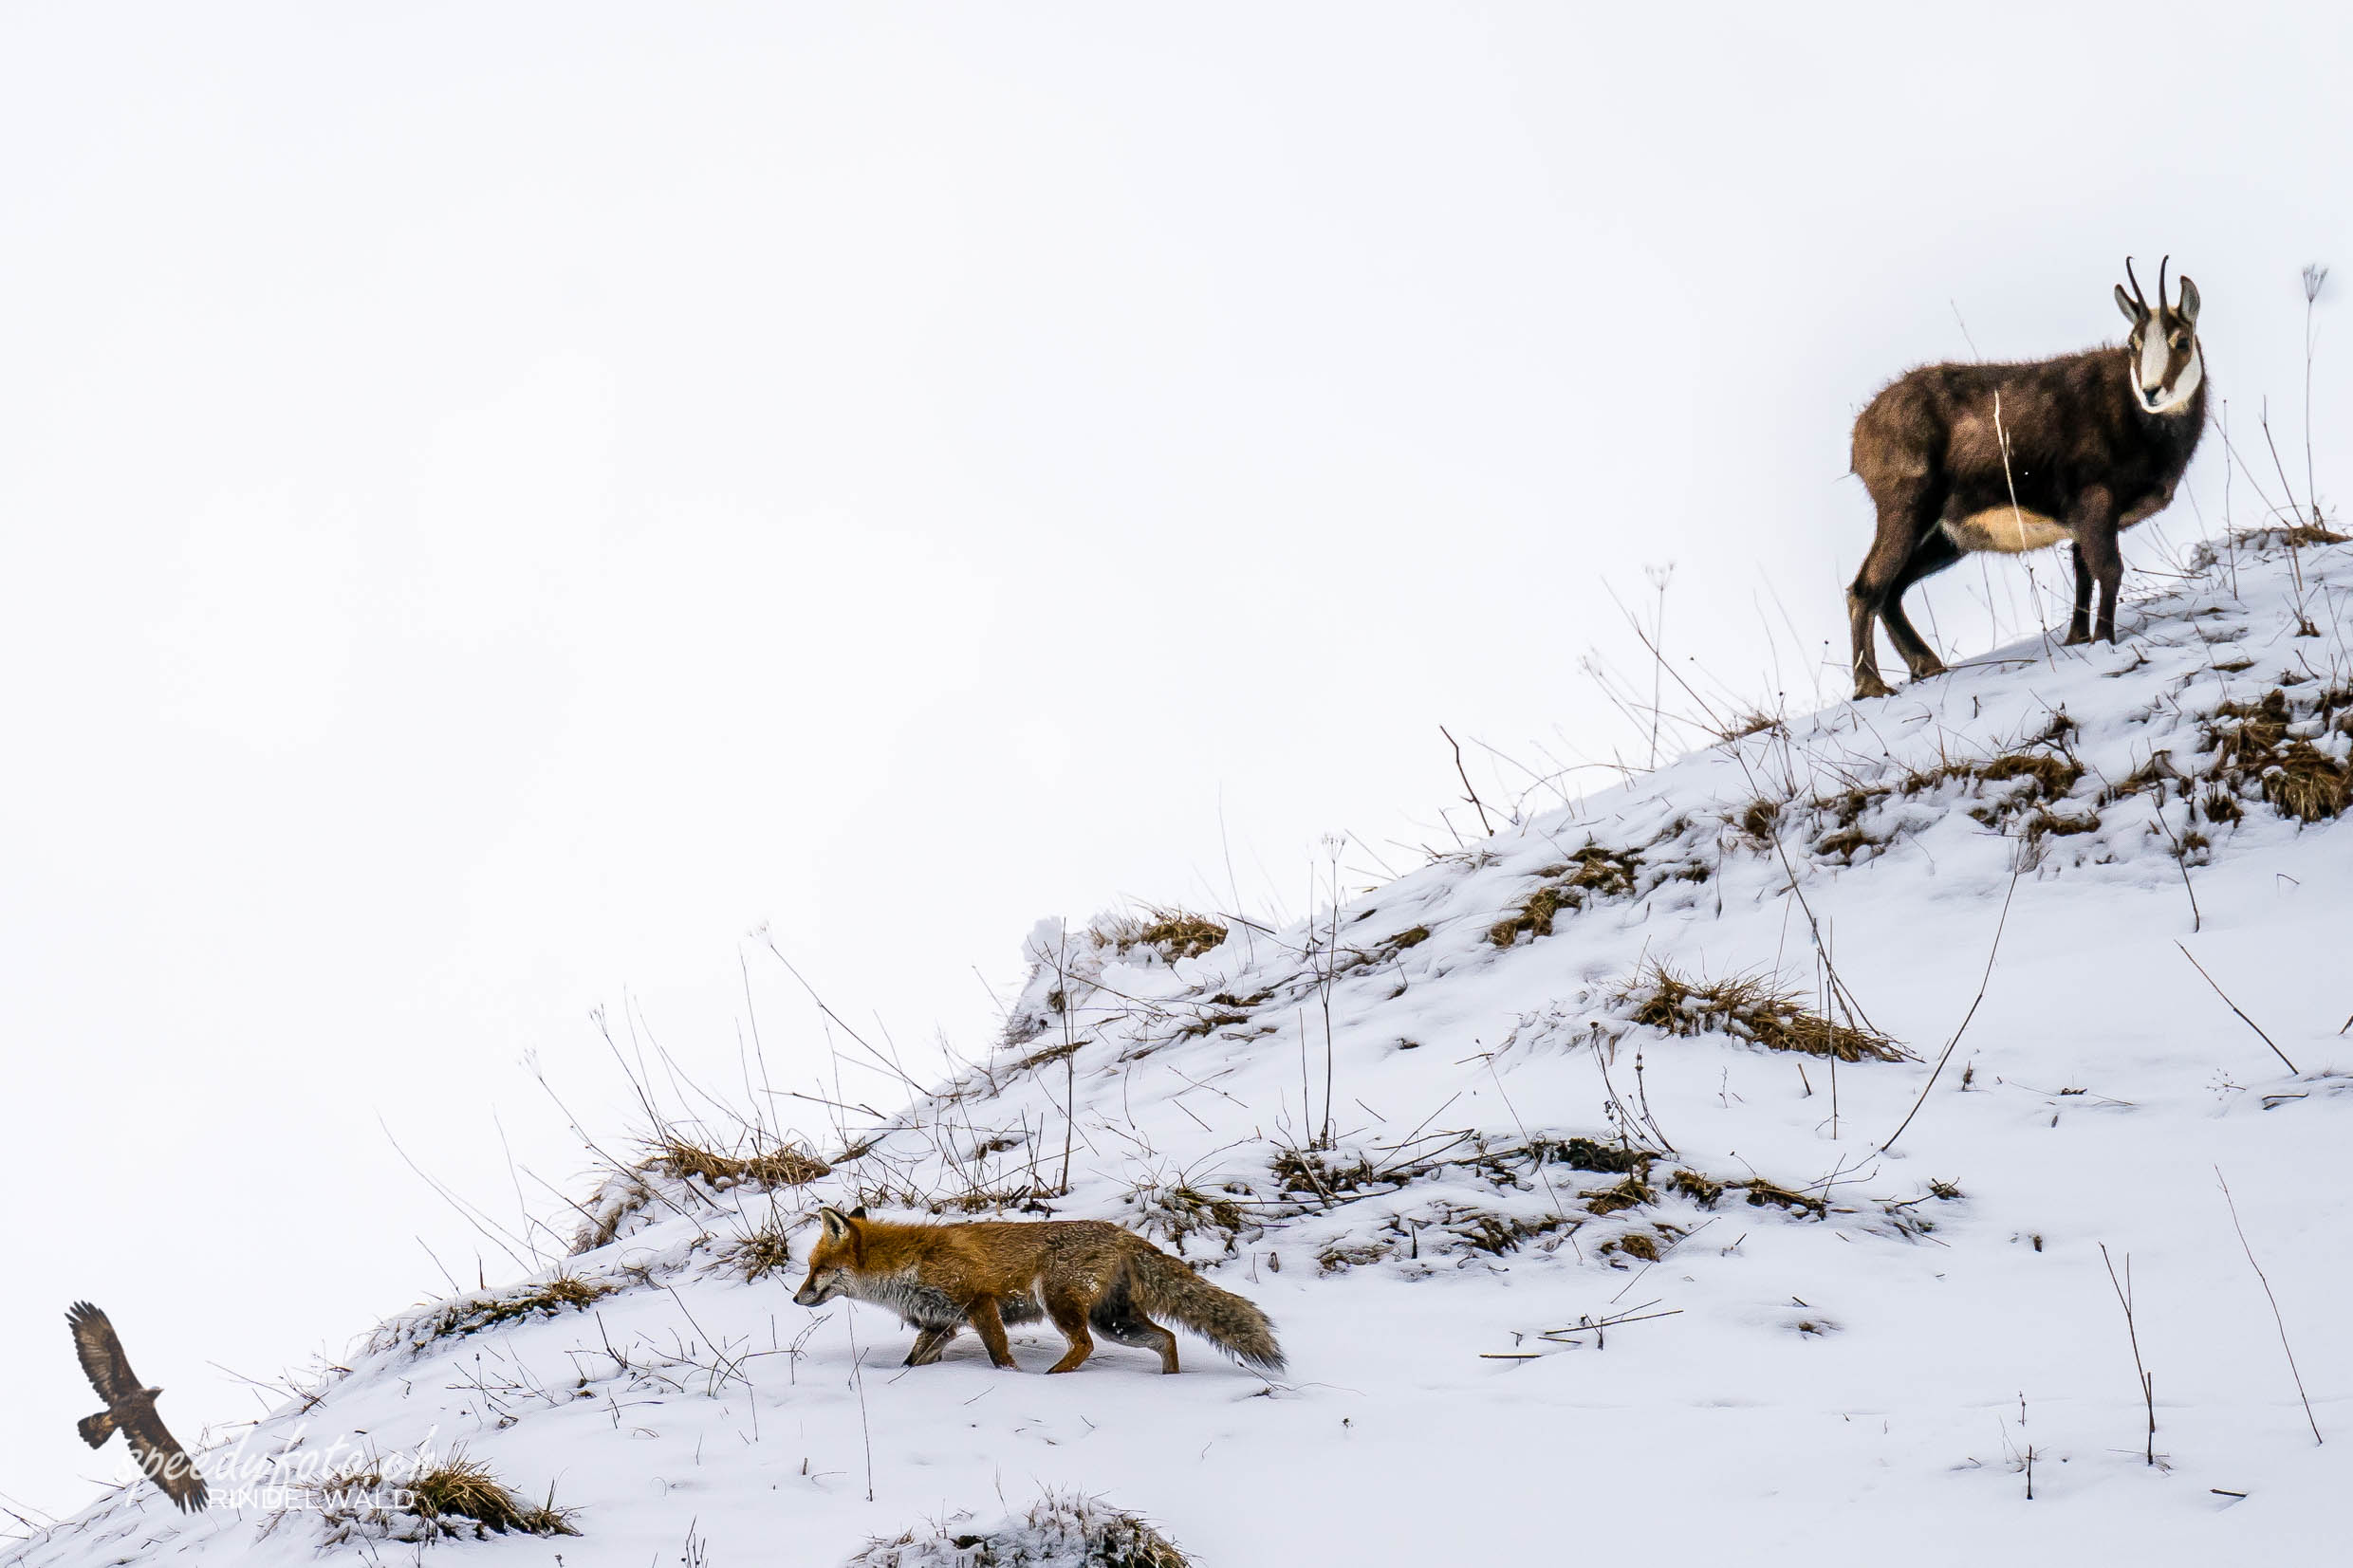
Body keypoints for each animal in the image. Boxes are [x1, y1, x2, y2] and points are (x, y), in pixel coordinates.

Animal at [800, 1203, 1289, 1373]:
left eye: (815, 1268)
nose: (795, 1296)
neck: (906, 1267)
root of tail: (1121, 1232)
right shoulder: (941, 1324)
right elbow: (913, 1362)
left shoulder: (979, 1302)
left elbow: (999, 1354)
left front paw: (1012, 1379)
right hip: (1116, 1322)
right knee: (1166, 1338)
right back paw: (1171, 1381)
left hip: (1061, 1303)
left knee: (1084, 1347)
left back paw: (1052, 1379)